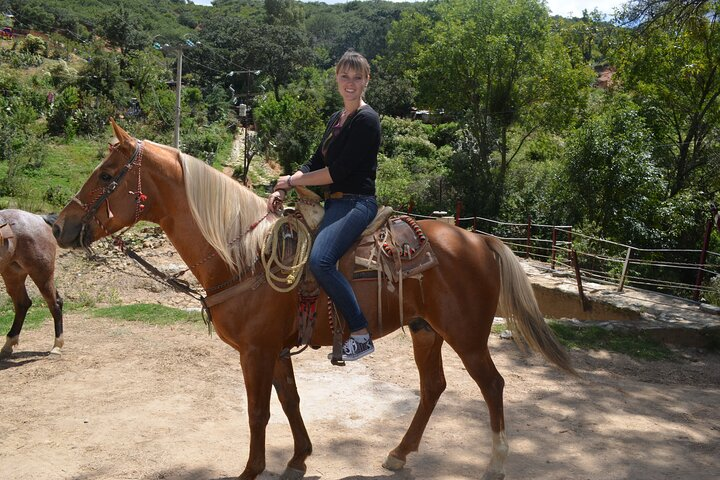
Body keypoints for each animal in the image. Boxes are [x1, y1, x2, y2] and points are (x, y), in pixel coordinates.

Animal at [0, 208, 63, 358]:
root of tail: (39, 218)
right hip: (13, 275)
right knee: (22, 304)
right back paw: (8, 344)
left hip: (42, 274)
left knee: (55, 304)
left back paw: (56, 347)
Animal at [52, 120, 572, 480]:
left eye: (107, 175)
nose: (59, 227)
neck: (244, 255)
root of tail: (480, 239)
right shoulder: (276, 350)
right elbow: (290, 402)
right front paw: (299, 458)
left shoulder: (256, 352)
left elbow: (258, 412)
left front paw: (252, 470)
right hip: (426, 331)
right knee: (433, 388)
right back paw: (399, 454)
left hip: (467, 335)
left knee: (493, 385)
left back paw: (496, 463)